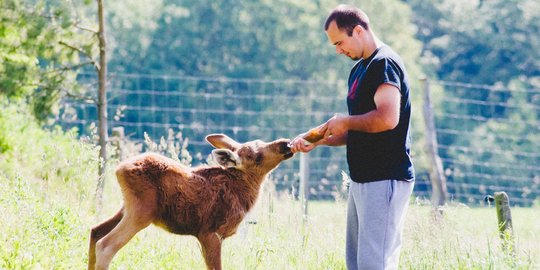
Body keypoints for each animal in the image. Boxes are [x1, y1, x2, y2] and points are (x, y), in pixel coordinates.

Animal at [87, 134, 294, 268]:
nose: (285, 144)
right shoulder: (210, 233)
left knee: (95, 231)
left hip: (126, 208)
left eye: (262, 141)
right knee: (105, 245)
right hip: (142, 212)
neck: (243, 192)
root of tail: (119, 169)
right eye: (257, 157)